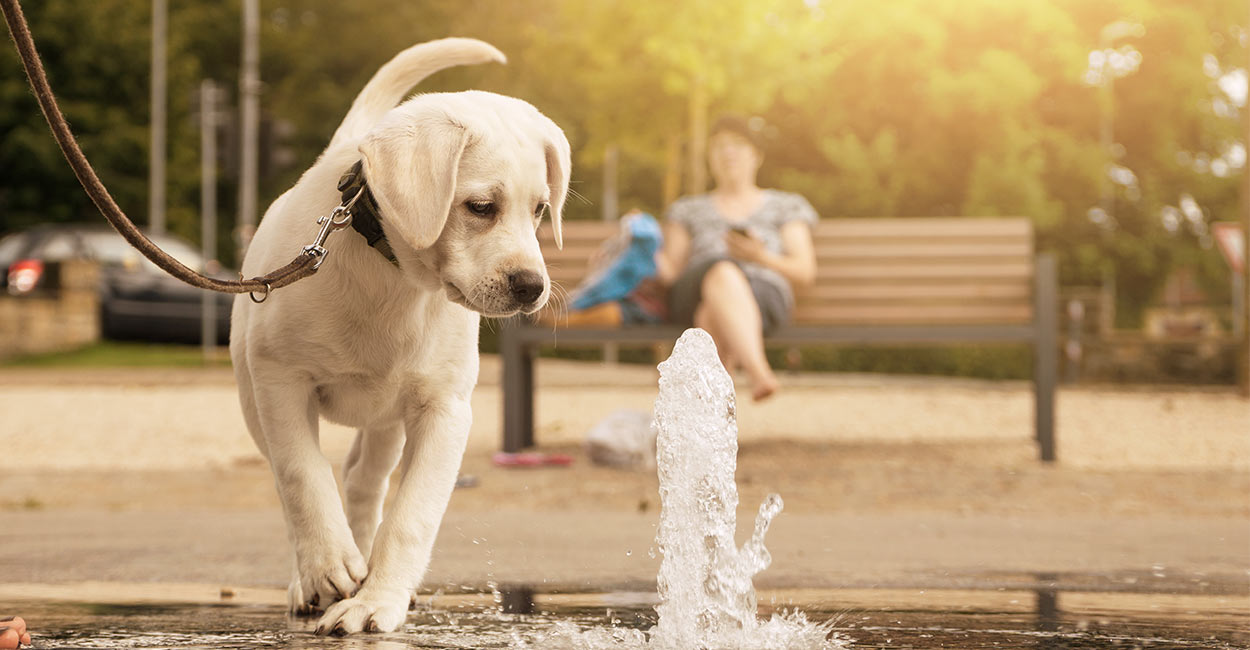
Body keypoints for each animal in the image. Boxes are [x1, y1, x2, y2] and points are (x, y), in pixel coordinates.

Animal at [228, 39, 567, 635]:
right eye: (481, 207)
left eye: (541, 210)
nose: (532, 286)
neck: (395, 281)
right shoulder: (279, 381)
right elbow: (301, 475)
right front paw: (328, 564)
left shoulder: (444, 410)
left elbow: (413, 514)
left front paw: (375, 600)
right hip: (254, 402)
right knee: (293, 480)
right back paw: (311, 578)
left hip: (386, 419)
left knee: (364, 482)